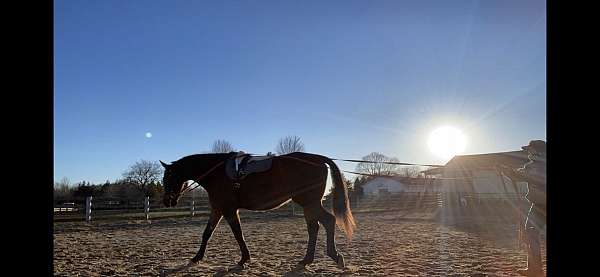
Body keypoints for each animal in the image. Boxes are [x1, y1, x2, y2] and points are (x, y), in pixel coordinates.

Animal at [159, 151, 356, 268]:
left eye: (168, 177)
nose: (167, 201)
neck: (216, 173)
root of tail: (318, 159)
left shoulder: (228, 210)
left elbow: (238, 233)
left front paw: (244, 259)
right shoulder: (217, 209)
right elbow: (207, 233)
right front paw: (197, 257)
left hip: (310, 202)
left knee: (327, 222)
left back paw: (334, 256)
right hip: (310, 204)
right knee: (315, 227)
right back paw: (308, 259)